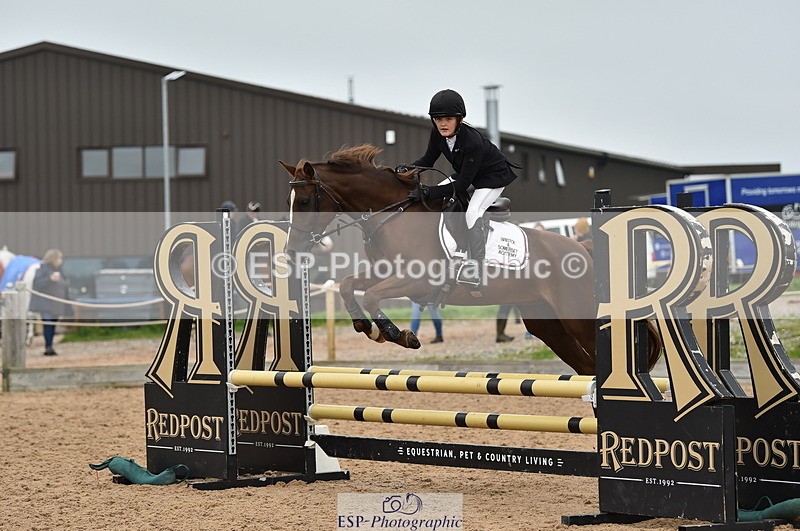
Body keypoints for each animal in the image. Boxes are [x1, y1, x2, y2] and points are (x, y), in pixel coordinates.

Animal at [279, 144, 661, 375]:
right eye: (290, 201)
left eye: (304, 202)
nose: (291, 252)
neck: (393, 214)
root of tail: (582, 249)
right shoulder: (385, 272)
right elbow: (349, 285)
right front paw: (366, 326)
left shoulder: (418, 280)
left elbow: (371, 295)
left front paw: (397, 334)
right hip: (547, 324)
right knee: (586, 367)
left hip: (576, 317)